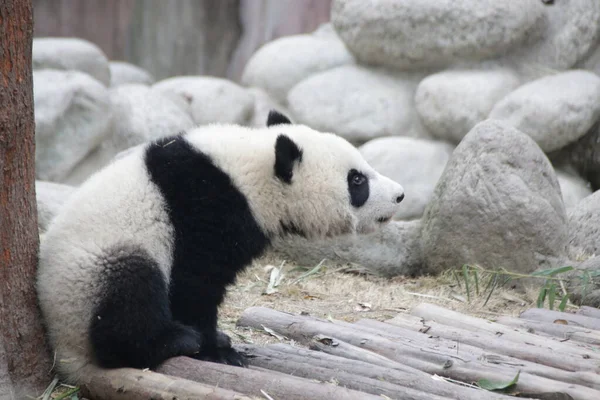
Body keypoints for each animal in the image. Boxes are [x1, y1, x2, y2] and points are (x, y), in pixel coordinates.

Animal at [36, 110, 404, 384]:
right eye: (357, 180)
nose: (400, 195)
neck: (248, 173)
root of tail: (63, 352)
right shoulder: (205, 208)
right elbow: (194, 283)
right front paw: (218, 349)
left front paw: (220, 342)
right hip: (93, 274)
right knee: (129, 296)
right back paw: (173, 340)